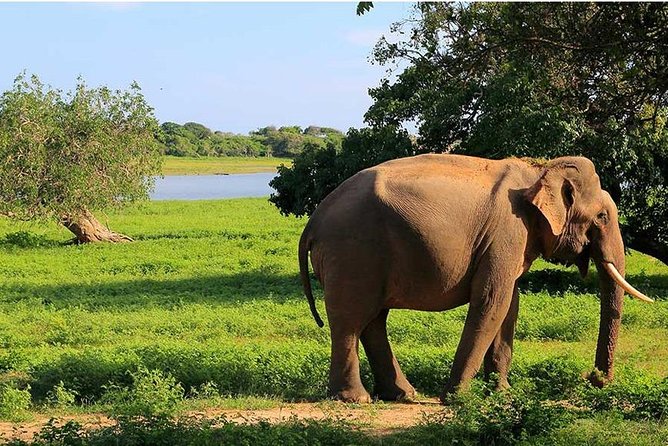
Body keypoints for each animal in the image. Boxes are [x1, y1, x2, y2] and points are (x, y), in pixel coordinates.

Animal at [298, 154, 652, 403]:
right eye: (602, 216)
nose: (592, 379)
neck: (539, 169)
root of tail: (314, 220)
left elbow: (510, 304)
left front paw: (502, 393)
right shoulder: (508, 232)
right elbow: (492, 300)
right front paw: (458, 398)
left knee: (373, 320)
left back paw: (402, 395)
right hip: (352, 253)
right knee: (350, 321)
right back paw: (355, 399)